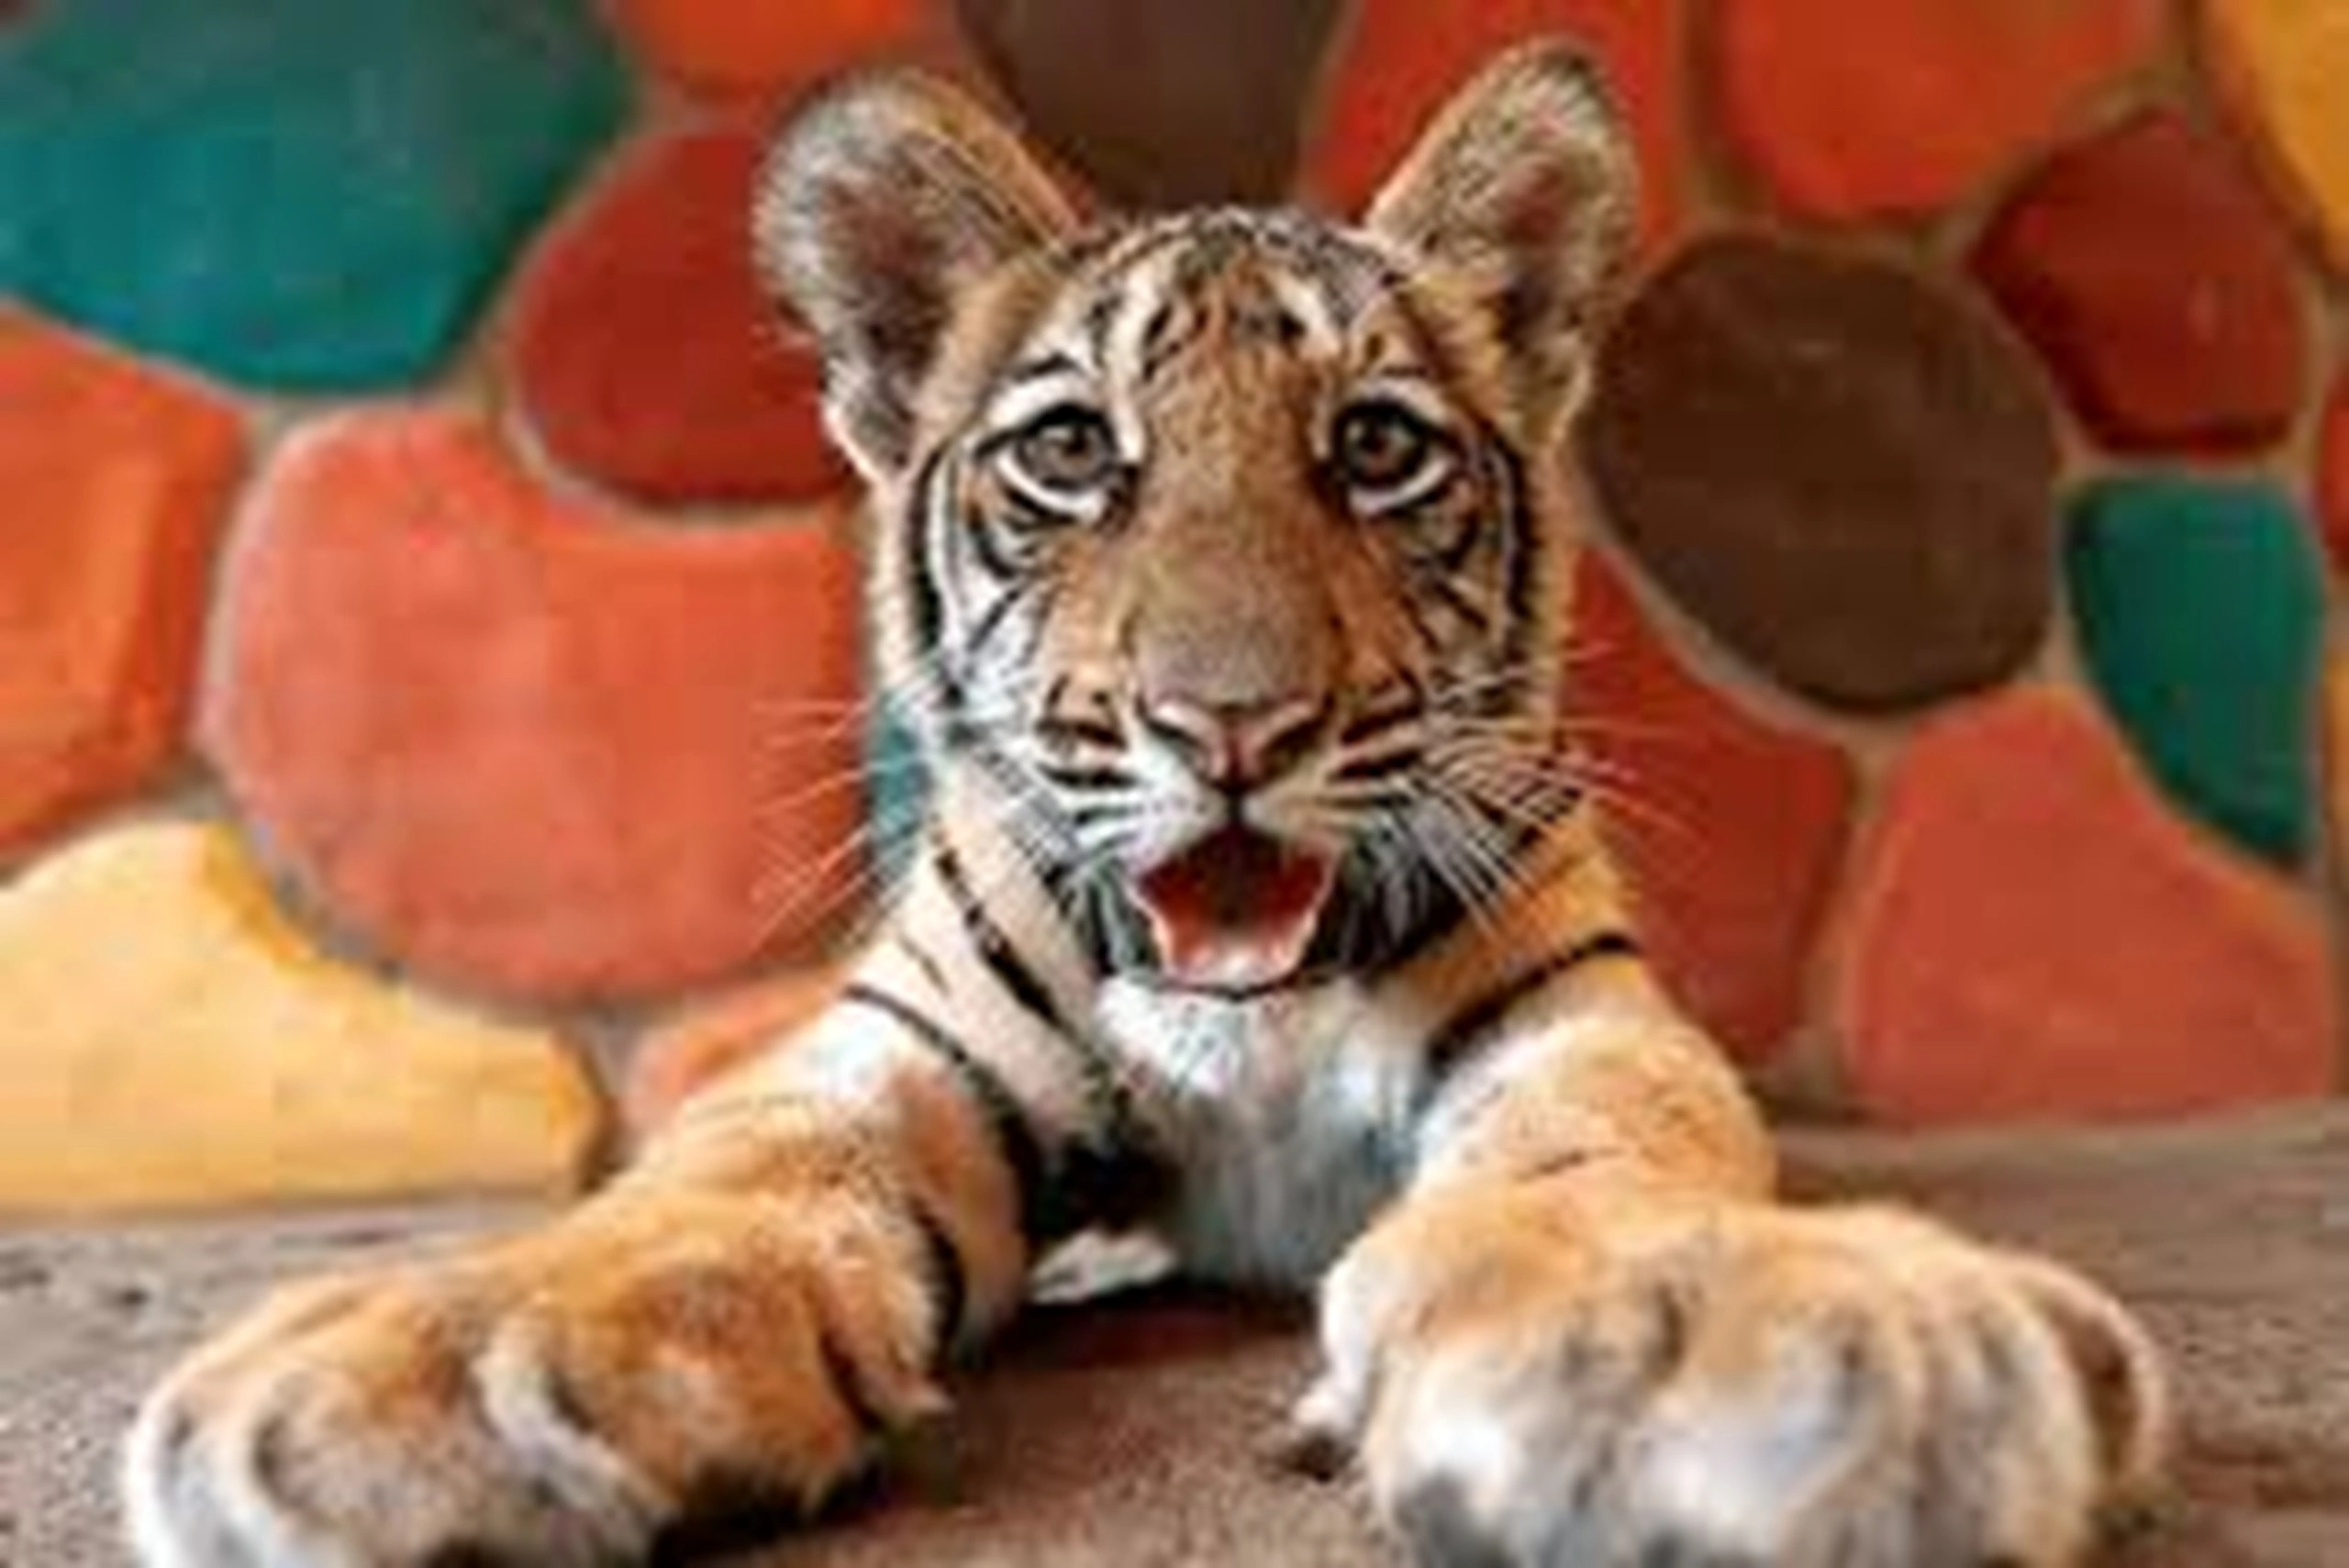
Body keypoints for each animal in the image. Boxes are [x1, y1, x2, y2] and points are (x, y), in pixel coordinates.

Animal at [124, 41, 2169, 1568]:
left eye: (1375, 446)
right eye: (1068, 451)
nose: (1229, 724)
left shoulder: (1576, 1015)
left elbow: (1603, 1155)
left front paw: (1722, 1335)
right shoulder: (897, 1048)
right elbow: (730, 1165)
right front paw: (450, 1357)